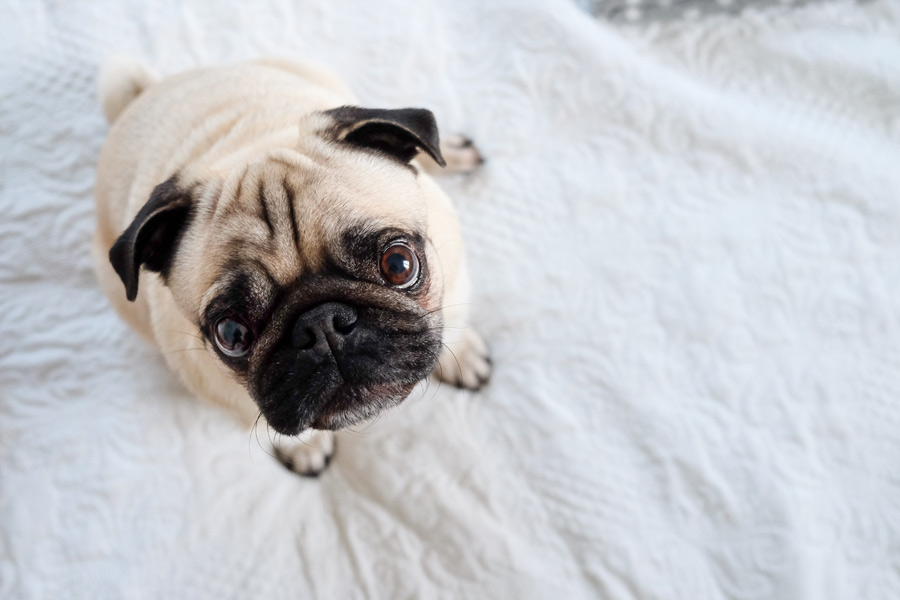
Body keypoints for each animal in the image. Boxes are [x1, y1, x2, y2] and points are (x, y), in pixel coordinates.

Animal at [91, 58, 492, 476]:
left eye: (398, 264)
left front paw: (461, 356)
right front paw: (306, 447)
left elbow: (452, 326)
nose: (323, 325)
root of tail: (144, 93)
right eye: (231, 333)